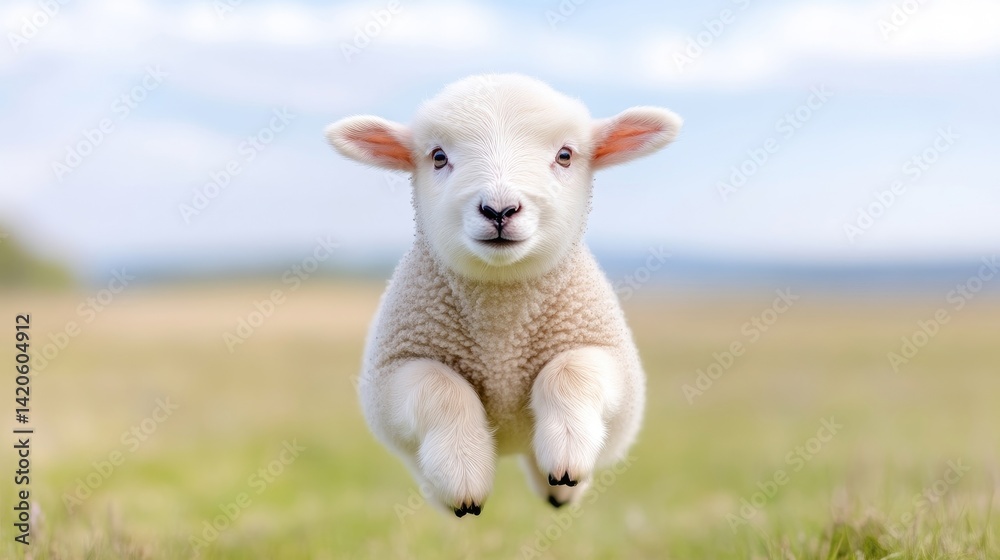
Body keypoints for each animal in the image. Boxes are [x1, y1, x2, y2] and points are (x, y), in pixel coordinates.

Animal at [325, 74, 681, 517]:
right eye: (438, 157)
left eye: (565, 155)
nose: (499, 210)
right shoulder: (391, 373)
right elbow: (439, 387)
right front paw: (464, 477)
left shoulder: (613, 361)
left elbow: (570, 370)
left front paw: (566, 458)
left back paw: (561, 490)